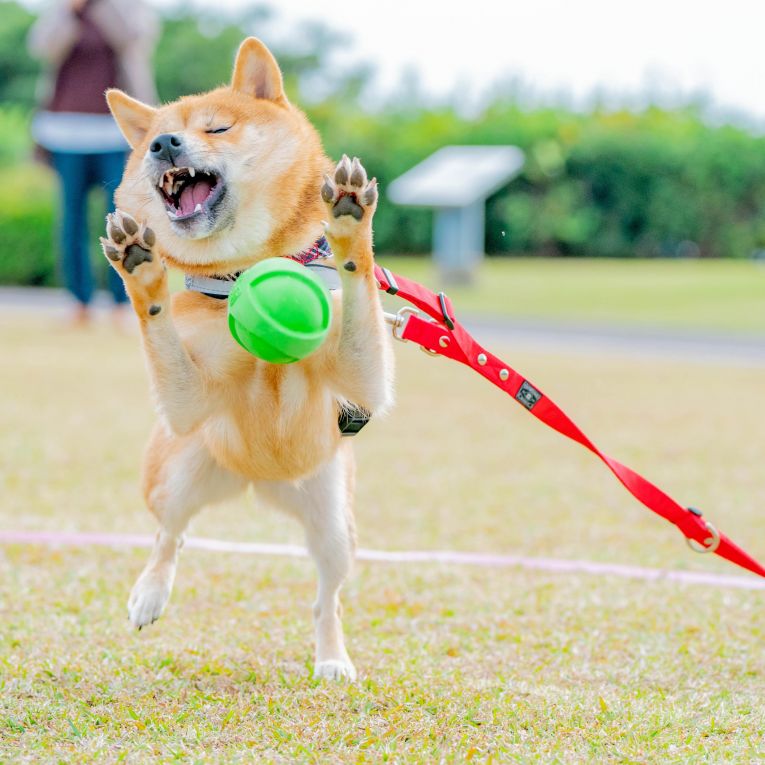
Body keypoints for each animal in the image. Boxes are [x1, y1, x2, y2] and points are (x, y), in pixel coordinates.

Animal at [100, 37, 394, 680]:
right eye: (155, 137)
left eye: (218, 127)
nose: (163, 144)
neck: (245, 271)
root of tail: (261, 480)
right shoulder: (189, 404)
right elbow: (158, 325)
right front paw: (141, 268)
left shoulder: (363, 385)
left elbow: (358, 286)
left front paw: (349, 223)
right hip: (179, 471)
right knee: (171, 533)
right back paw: (149, 593)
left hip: (334, 521)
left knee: (326, 598)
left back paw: (333, 660)